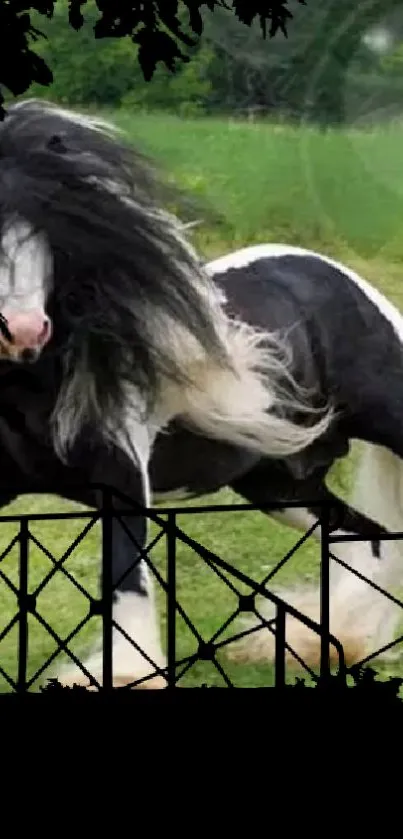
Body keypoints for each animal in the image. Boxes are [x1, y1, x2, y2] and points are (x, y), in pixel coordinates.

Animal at [0, 98, 402, 688]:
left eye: (49, 226)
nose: (24, 332)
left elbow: (125, 582)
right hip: (281, 485)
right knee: (367, 541)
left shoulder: (122, 475)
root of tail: (348, 283)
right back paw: (325, 645)